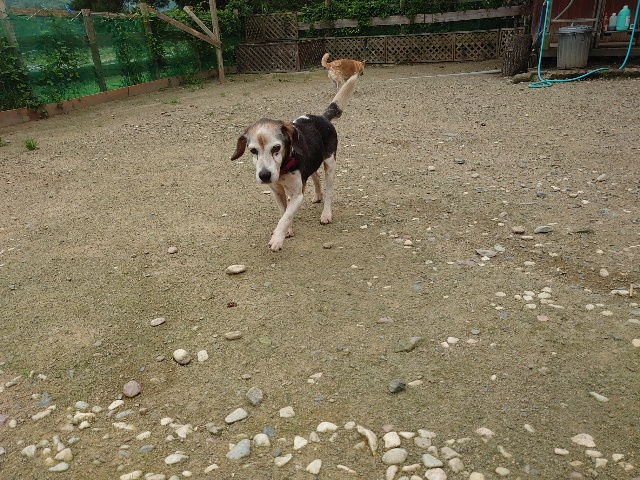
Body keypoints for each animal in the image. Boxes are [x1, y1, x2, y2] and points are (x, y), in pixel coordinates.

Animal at [230, 74, 358, 251]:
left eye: (276, 147)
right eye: (253, 150)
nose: (264, 175)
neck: (282, 169)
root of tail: (322, 117)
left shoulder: (297, 195)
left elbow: (286, 216)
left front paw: (277, 239)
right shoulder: (277, 192)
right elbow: (283, 212)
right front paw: (287, 230)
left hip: (330, 164)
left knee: (329, 191)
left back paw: (326, 214)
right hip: (312, 163)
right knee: (315, 177)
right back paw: (317, 195)